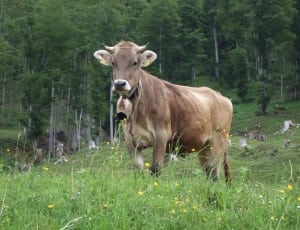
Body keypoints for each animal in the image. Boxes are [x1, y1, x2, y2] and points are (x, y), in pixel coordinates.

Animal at [94, 41, 232, 181]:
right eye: (113, 62)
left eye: (135, 62)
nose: (119, 84)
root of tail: (221, 96)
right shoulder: (130, 139)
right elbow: (139, 170)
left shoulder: (161, 136)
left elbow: (155, 169)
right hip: (202, 147)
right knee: (210, 173)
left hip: (218, 141)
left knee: (215, 172)